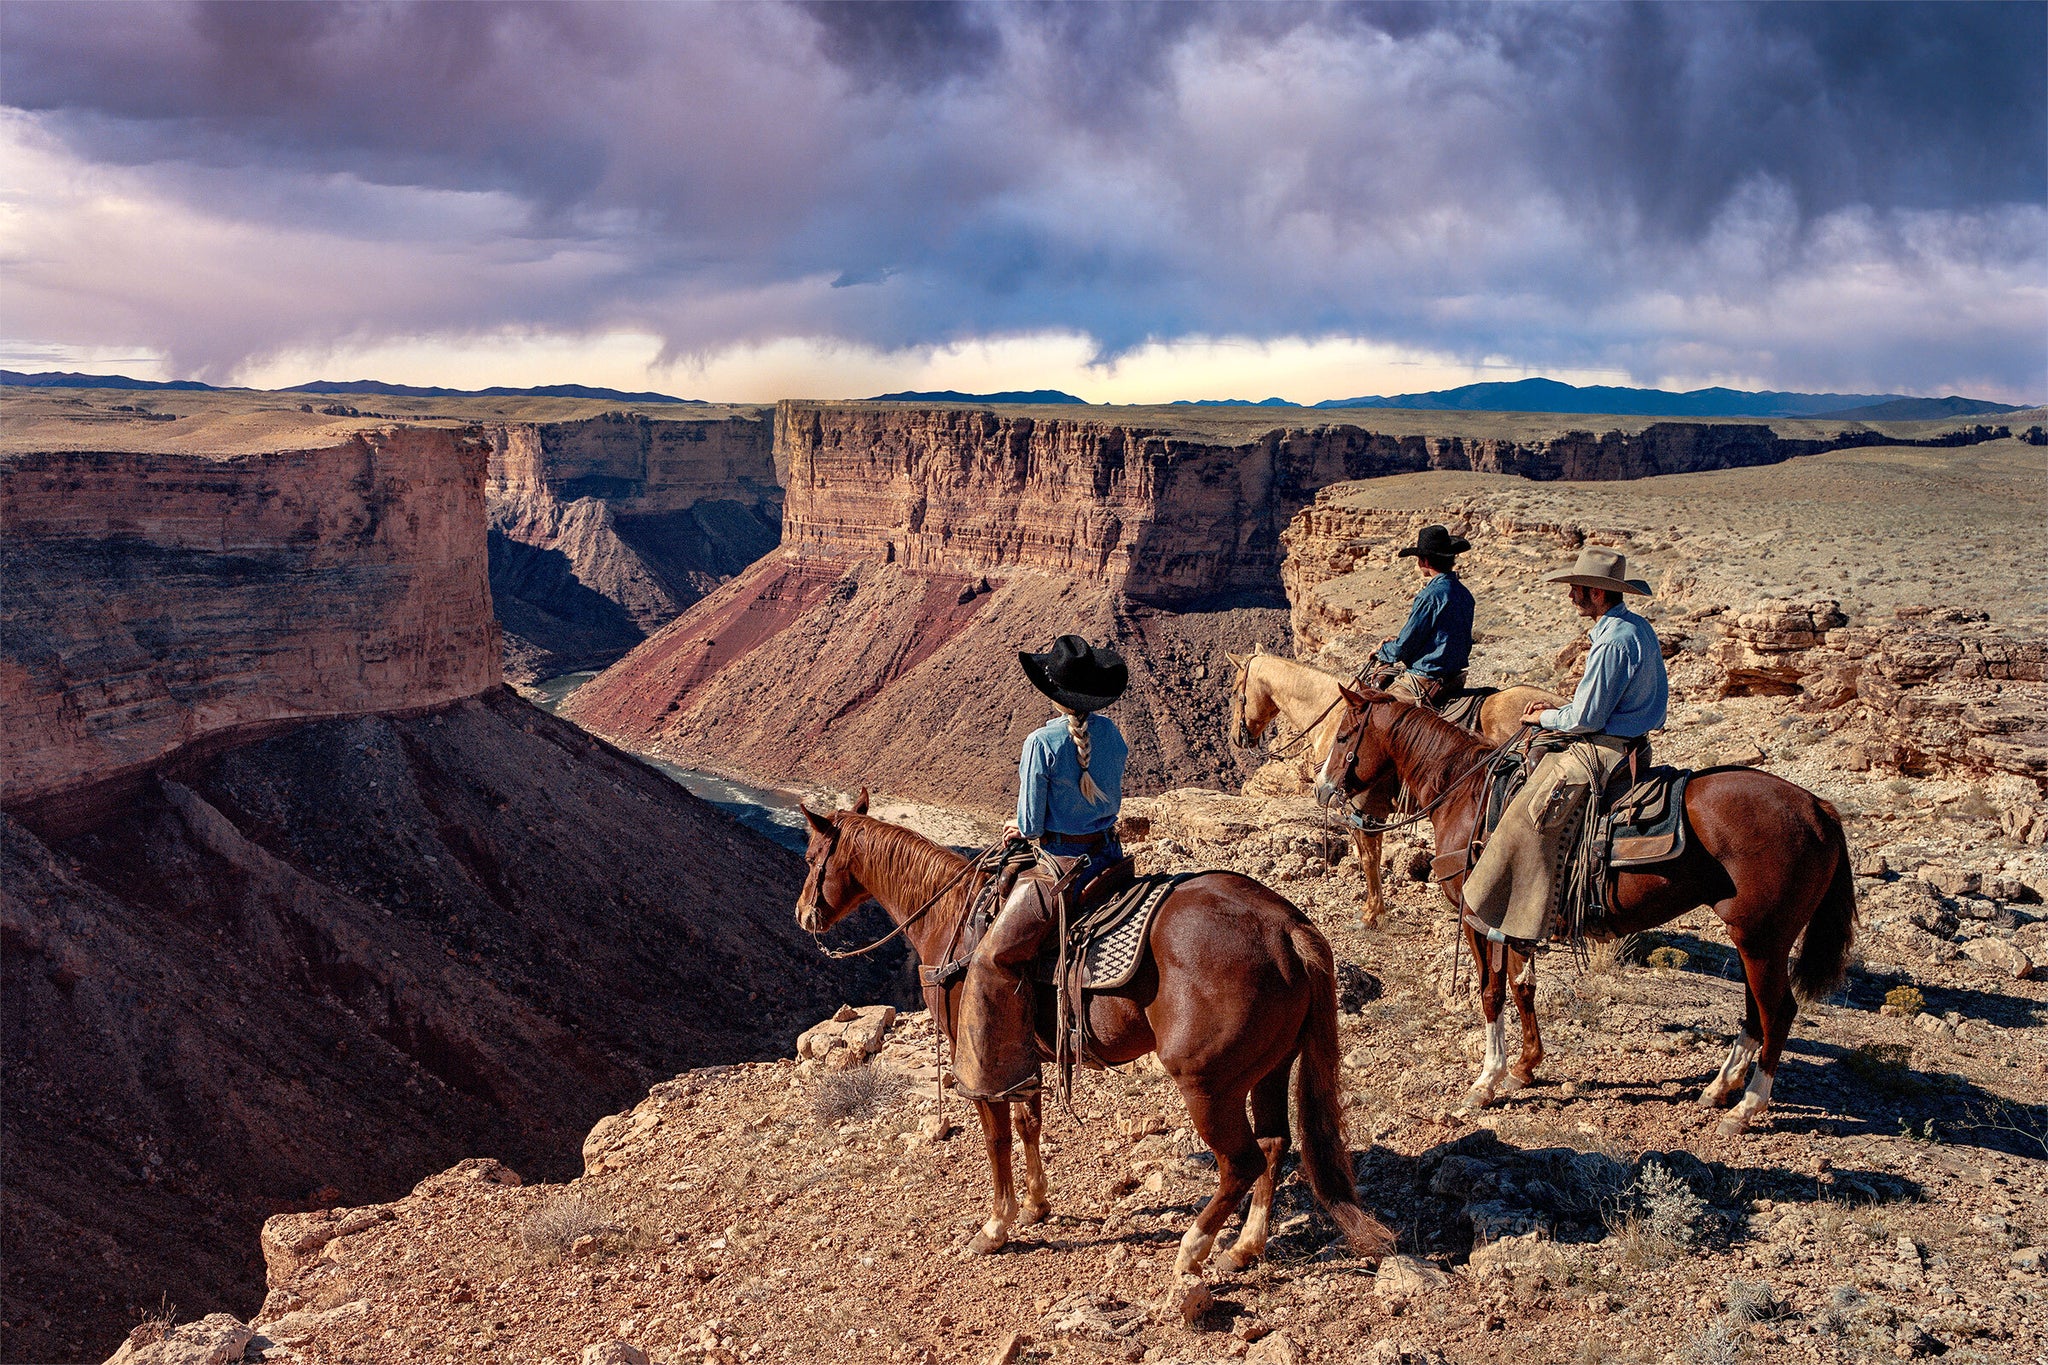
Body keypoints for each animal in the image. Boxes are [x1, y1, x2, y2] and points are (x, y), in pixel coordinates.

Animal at [794, 794, 1392, 1277]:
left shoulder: (981, 1060)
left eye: (810, 858)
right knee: (1272, 1146)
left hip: (1207, 1083)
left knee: (1240, 1161)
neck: (950, 919)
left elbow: (996, 1137)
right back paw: (1243, 1250)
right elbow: (1029, 1124)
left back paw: (1192, 1249)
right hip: (1270, 1067)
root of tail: (1287, 928)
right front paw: (1036, 1206)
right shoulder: (1022, 1057)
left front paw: (995, 1227)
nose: (803, 916)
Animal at [1220, 642, 1556, 929]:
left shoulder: (1359, 809)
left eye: (1236, 690)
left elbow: (1369, 860)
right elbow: (1372, 857)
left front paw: (1371, 915)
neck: (1336, 720)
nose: (1237, 738)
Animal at [1310, 695, 1859, 1129]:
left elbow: (1491, 994)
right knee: (1755, 1011)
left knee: (1778, 1011)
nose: (1322, 788)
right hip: (1756, 939)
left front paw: (1486, 1081)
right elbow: (1522, 986)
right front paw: (1525, 1066)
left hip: (1763, 938)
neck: (1466, 795)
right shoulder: (1513, 917)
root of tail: (1818, 808)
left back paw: (1746, 1108)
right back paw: (1718, 1090)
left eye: (1343, 735)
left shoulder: (1479, 918)